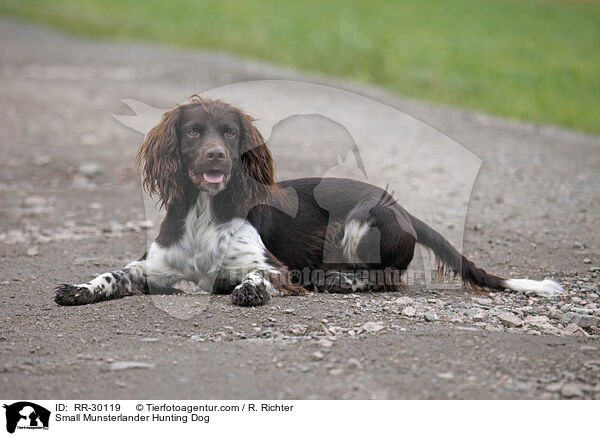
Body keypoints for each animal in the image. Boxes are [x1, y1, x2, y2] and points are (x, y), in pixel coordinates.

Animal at [54, 96, 564, 306]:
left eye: (231, 133)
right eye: (194, 132)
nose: (218, 154)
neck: (203, 212)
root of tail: (402, 208)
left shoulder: (273, 266)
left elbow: (258, 276)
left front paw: (249, 290)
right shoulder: (153, 267)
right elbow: (113, 274)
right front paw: (80, 288)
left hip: (363, 218)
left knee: (386, 279)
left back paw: (335, 279)